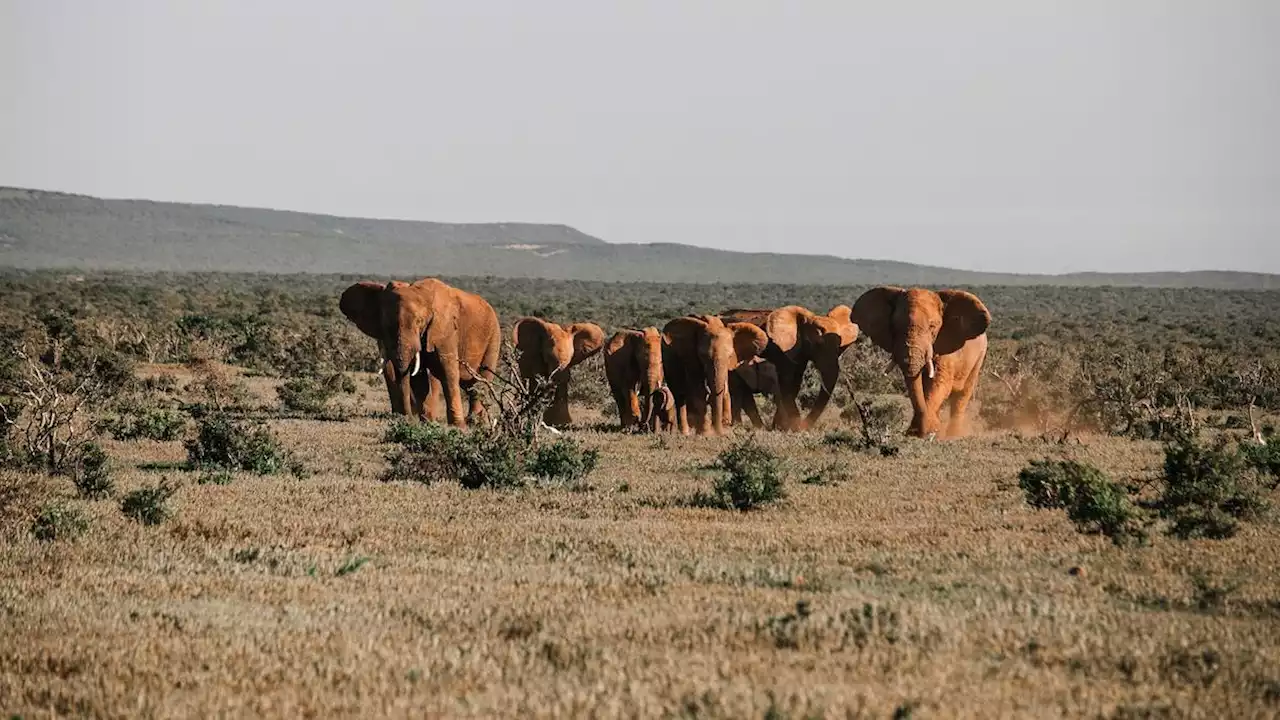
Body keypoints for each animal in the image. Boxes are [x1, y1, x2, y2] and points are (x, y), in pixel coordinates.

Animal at [340, 278, 499, 425]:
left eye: (419, 322)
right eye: (386, 324)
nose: (407, 419)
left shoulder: (444, 328)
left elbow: (448, 372)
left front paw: (458, 427)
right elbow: (419, 378)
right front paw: (426, 423)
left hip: (494, 336)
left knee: (481, 381)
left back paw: (475, 423)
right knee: (470, 386)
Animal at [721, 303, 860, 427]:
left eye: (839, 346)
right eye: (817, 344)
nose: (804, 426)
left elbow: (794, 385)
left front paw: (782, 428)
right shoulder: (780, 351)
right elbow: (786, 386)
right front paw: (793, 427)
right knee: (739, 393)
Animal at [855, 285, 993, 438]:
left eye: (932, 327)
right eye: (894, 326)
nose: (918, 432)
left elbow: (938, 384)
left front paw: (929, 431)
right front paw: (923, 431)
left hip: (979, 356)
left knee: (962, 395)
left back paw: (954, 434)